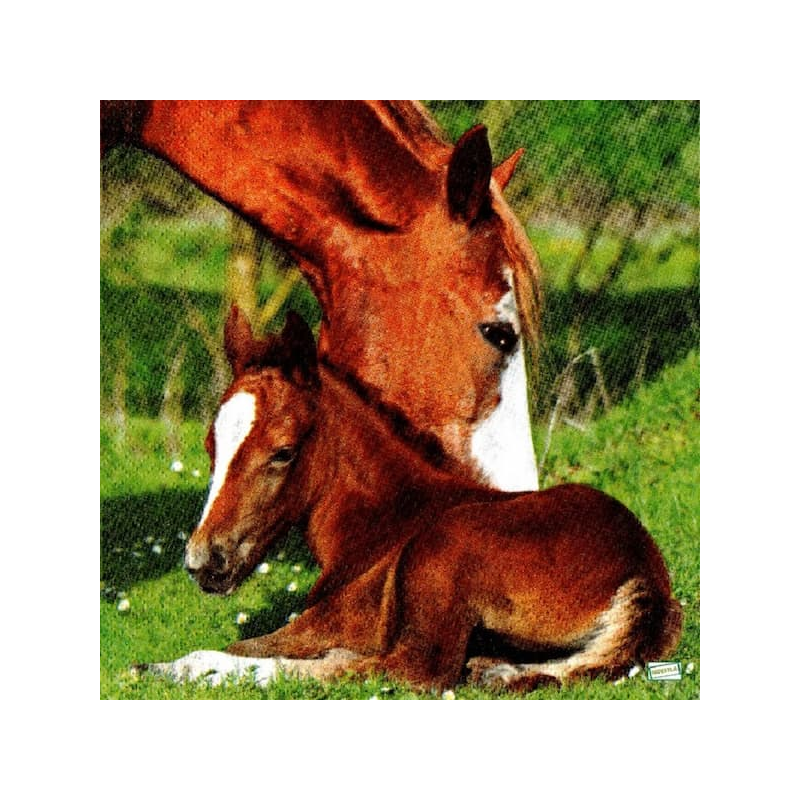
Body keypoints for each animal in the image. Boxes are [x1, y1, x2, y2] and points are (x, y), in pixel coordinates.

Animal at [170, 308, 682, 692]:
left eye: (283, 452)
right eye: (210, 447)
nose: (203, 560)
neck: (385, 520)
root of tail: (645, 576)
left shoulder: (325, 622)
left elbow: (239, 647)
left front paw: (178, 667)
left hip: (443, 545)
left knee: (411, 670)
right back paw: (496, 672)